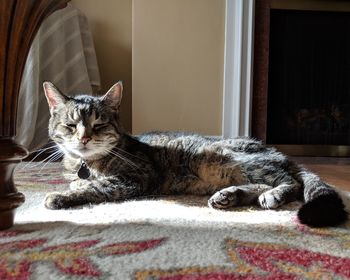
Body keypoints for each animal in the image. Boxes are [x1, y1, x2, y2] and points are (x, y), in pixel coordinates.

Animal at [42, 81, 348, 228]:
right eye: (70, 126)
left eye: (99, 125)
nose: (84, 138)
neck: (87, 163)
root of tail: (276, 150)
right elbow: (80, 183)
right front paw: (73, 184)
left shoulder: (136, 178)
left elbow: (95, 187)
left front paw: (60, 195)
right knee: (262, 184)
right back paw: (230, 196)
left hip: (233, 159)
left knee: (290, 182)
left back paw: (272, 194)